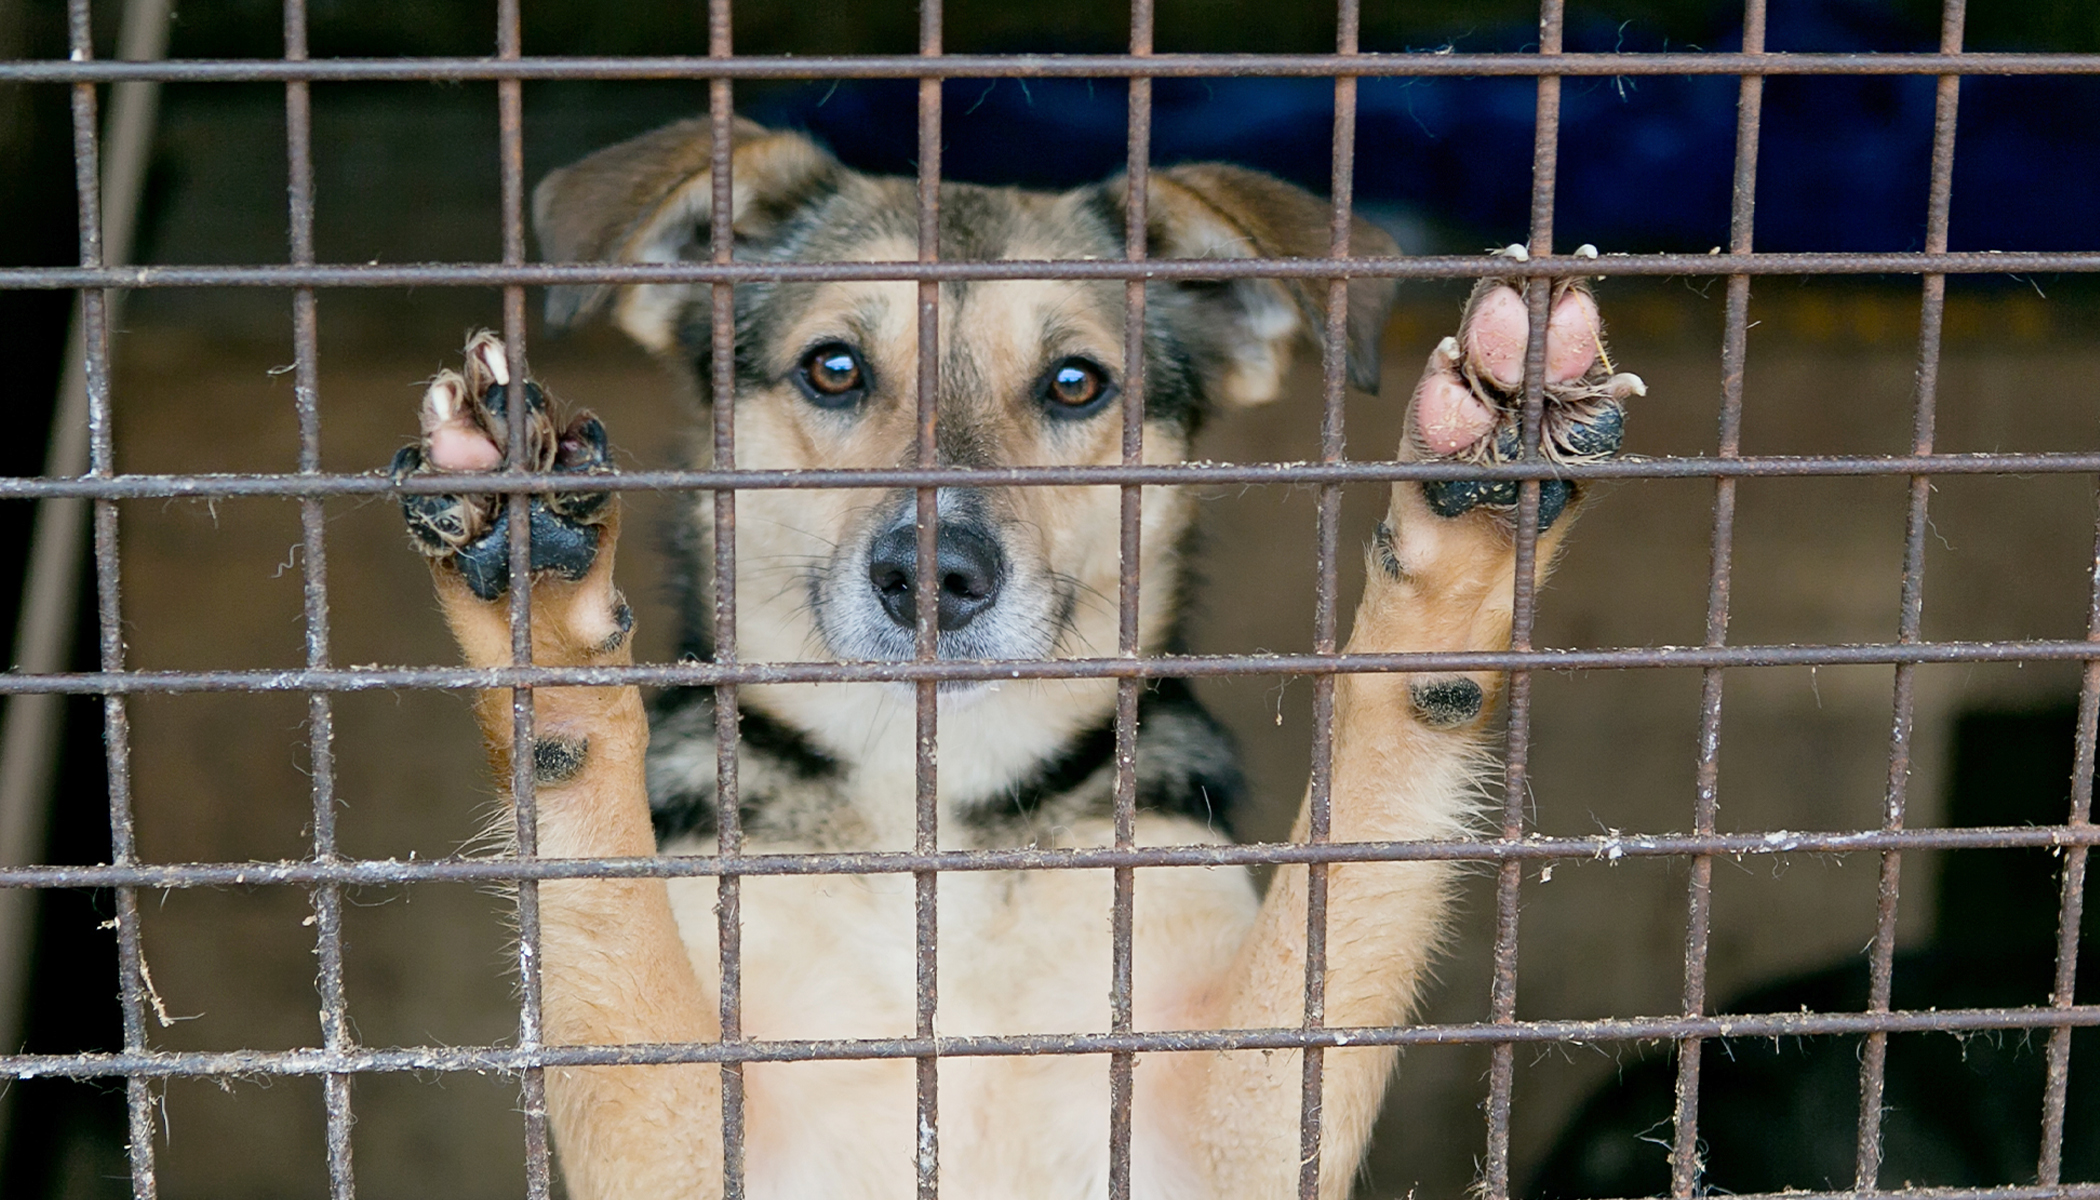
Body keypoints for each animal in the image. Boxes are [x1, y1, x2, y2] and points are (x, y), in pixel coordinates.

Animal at [390, 115, 1637, 1200]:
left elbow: (1370, 811)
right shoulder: (681, 1138)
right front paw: (539, 610)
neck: (937, 808)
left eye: (1076, 383)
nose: (931, 576)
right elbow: (598, 875)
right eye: (833, 369)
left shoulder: (1229, 1128)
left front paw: (1469, 519)